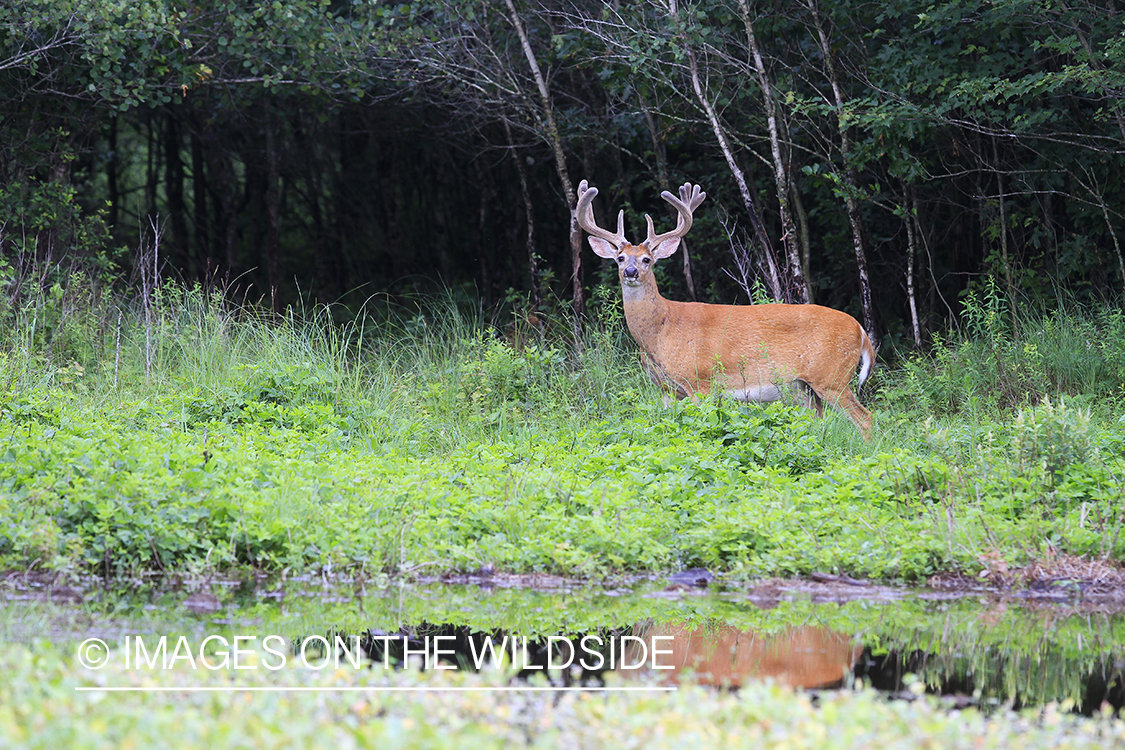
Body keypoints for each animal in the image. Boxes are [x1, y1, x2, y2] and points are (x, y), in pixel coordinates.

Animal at [580, 179, 877, 436]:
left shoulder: (699, 380)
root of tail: (861, 332)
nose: (630, 272)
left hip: (832, 376)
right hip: (804, 386)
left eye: (646, 260)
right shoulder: (667, 389)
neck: (660, 331)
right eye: (620, 257)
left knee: (865, 418)